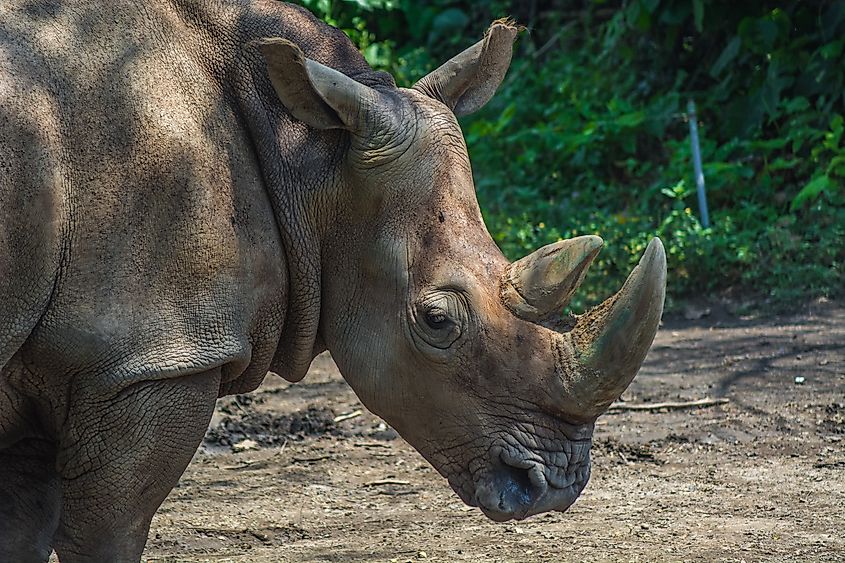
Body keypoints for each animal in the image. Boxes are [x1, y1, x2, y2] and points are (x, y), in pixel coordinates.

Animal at [0, 1, 666, 560]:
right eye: (436, 321)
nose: (554, 486)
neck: (312, 160)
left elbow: (24, 525)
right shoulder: (150, 355)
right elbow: (107, 530)